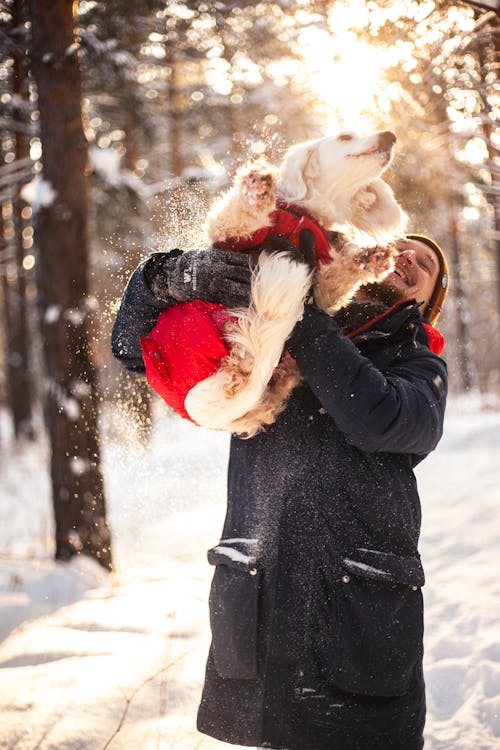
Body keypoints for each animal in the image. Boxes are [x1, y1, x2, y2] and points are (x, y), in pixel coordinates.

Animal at [144, 129, 406, 434]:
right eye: (345, 136)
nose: (390, 136)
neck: (305, 217)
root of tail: (198, 408)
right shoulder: (233, 234)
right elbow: (239, 216)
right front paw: (257, 189)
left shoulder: (322, 282)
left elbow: (337, 276)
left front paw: (370, 257)